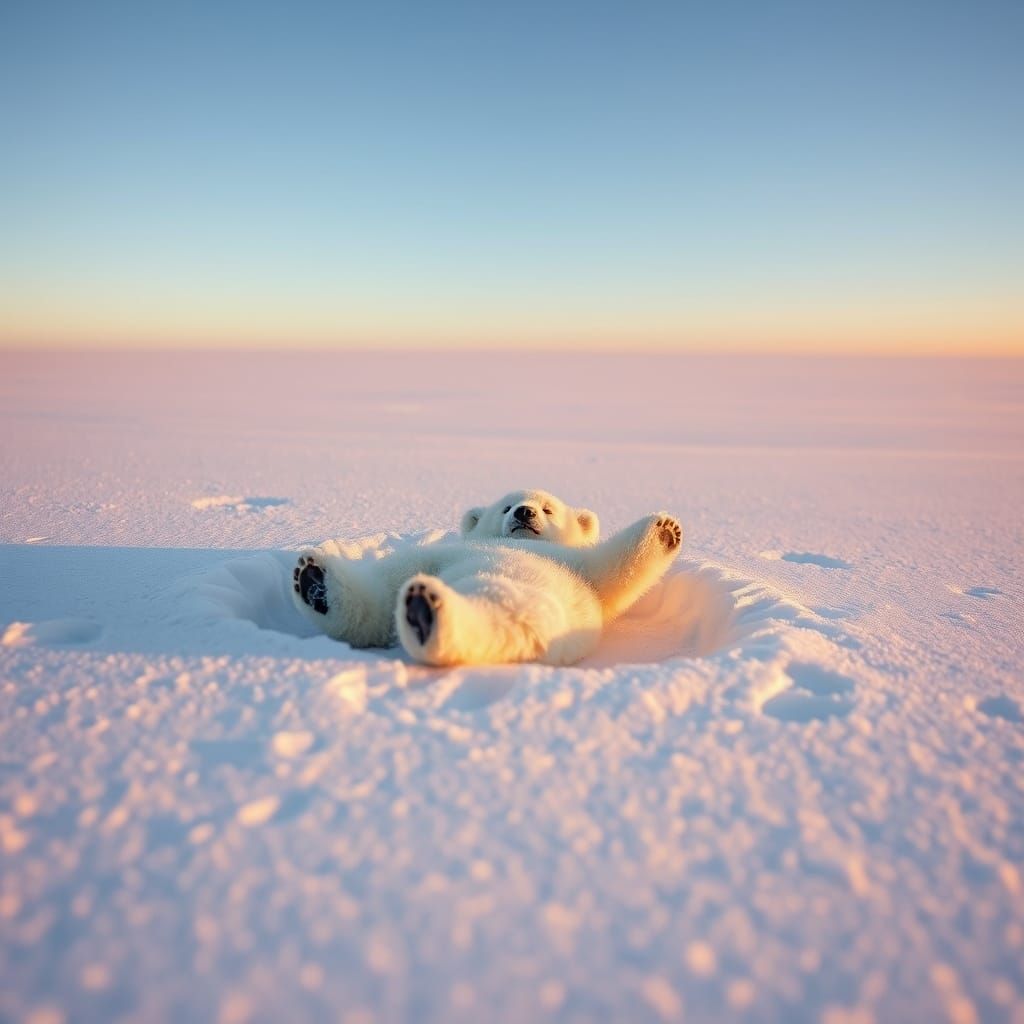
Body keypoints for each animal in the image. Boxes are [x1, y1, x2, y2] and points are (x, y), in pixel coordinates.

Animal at [290, 491, 683, 667]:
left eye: (548, 508)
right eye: (506, 506)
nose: (524, 512)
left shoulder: (577, 568)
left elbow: (613, 564)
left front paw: (666, 528)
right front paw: (666, 528)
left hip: (524, 604)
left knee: (493, 614)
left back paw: (426, 612)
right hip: (418, 564)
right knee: (375, 595)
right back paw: (315, 581)